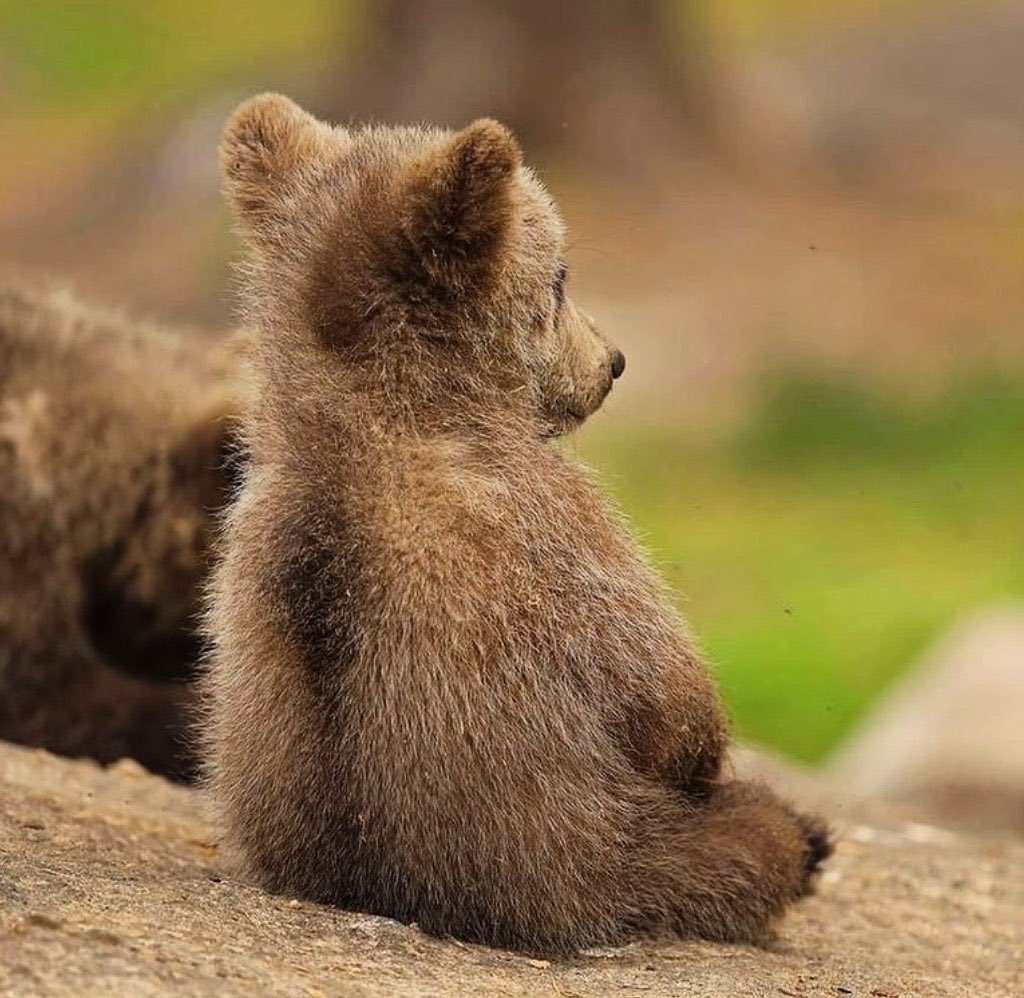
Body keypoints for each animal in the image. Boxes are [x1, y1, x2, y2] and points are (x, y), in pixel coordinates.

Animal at [203, 93, 832, 954]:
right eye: (560, 276)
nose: (615, 361)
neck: (386, 410)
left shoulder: (241, 559)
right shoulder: (563, 530)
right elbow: (661, 679)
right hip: (619, 855)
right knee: (746, 841)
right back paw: (808, 840)